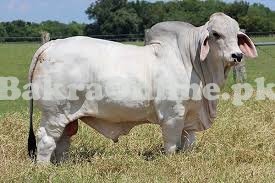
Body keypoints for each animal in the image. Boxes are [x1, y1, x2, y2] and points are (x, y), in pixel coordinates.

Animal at [28, 13, 258, 164]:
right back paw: (44, 168)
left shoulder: (191, 115)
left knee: (63, 140)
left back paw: (62, 165)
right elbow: (172, 143)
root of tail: (51, 45)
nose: (237, 55)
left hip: (67, 116)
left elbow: (189, 141)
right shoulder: (173, 115)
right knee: (46, 139)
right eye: (216, 34)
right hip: (53, 113)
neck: (191, 60)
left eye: (237, 35)